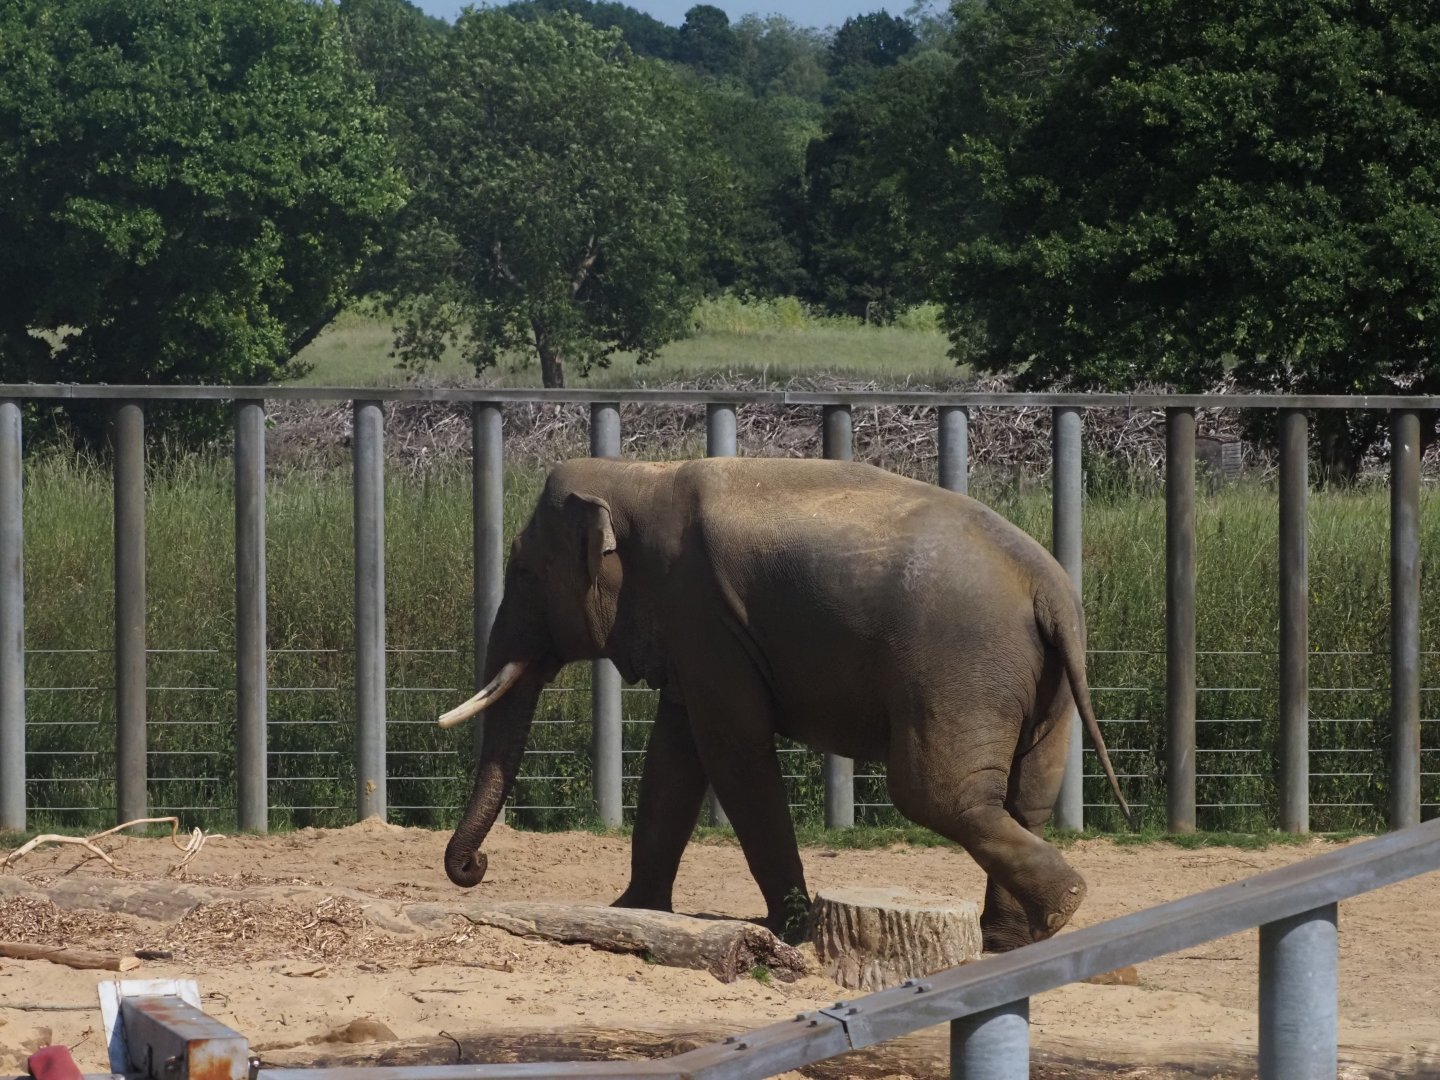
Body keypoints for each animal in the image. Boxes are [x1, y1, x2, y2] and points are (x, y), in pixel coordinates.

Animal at [439, 456, 1131, 952]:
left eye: (523, 573)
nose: (475, 867)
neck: (640, 474)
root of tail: (1048, 586)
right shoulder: (698, 637)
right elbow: (675, 758)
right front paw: (632, 912)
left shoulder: (705, 618)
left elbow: (732, 751)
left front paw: (786, 930)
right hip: (1041, 682)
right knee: (1026, 796)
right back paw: (1017, 935)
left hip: (960, 670)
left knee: (939, 794)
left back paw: (1062, 906)